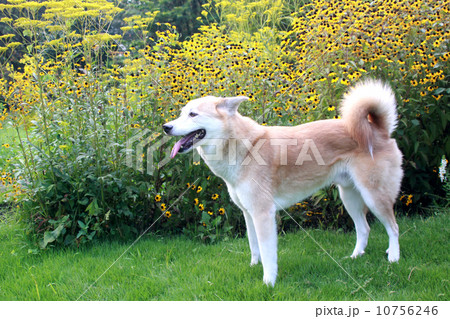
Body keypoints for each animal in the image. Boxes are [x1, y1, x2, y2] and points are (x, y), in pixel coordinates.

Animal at [163, 80, 402, 288]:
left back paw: (394, 258)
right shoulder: (248, 213)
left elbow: (268, 253)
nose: (166, 126)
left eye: (193, 114)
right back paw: (354, 257)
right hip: (349, 197)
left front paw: (268, 282)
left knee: (393, 228)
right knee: (364, 228)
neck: (245, 148)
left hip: (374, 196)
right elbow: (254, 246)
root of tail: (378, 129)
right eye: (182, 113)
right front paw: (254, 266)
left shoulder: (263, 214)